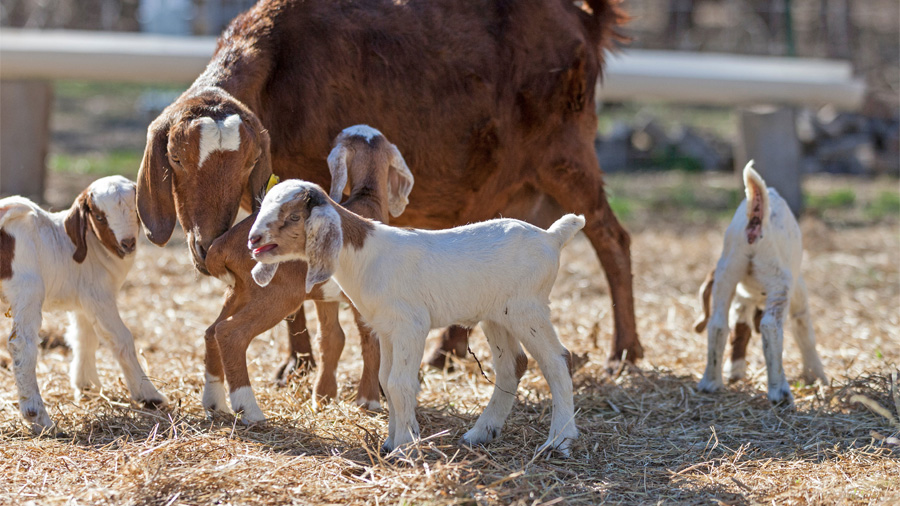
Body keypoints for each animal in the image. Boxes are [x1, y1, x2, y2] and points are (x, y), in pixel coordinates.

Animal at [0, 176, 167, 434]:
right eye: (99, 217)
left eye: (136, 211)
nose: (128, 243)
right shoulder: (99, 297)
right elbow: (121, 339)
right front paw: (149, 395)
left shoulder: (82, 302)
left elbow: (83, 338)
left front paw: (86, 385)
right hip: (28, 289)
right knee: (22, 344)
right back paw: (39, 418)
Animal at [135, 0, 642, 375]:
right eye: (175, 159)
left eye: (247, 162)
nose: (207, 245)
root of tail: (583, 17)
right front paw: (297, 365)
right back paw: (448, 351)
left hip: (565, 150)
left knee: (612, 239)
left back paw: (624, 352)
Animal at [202, 125, 413, 422]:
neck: (367, 198)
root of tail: (222, 245)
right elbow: (369, 340)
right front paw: (368, 400)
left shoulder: (326, 296)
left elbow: (332, 339)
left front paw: (323, 396)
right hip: (278, 293)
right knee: (230, 334)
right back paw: (249, 409)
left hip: (240, 289)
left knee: (211, 331)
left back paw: (214, 402)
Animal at [248, 181, 583, 457]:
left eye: (293, 217)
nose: (253, 239)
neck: (366, 257)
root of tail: (551, 237)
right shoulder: (387, 330)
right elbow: (385, 379)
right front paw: (390, 442)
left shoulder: (411, 326)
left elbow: (400, 383)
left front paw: (406, 446)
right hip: (497, 316)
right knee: (513, 365)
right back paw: (480, 433)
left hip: (527, 308)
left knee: (558, 360)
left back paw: (559, 441)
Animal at [696, 161, 827, 405]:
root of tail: (757, 216)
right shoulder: (797, 294)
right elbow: (805, 333)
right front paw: (817, 376)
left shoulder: (740, 299)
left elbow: (739, 330)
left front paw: (735, 370)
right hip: (778, 281)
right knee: (770, 326)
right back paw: (780, 393)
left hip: (727, 271)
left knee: (717, 324)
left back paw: (710, 382)